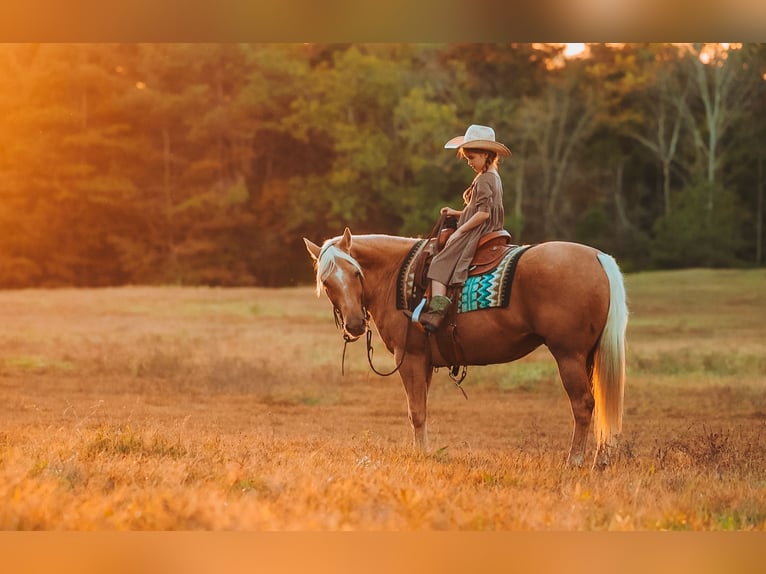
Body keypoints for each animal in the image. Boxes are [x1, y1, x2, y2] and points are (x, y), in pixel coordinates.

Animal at [303, 228, 628, 469]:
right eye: (327, 282)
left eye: (356, 274)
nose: (356, 324)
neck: (395, 275)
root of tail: (597, 256)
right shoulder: (424, 362)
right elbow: (422, 408)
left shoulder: (409, 358)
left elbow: (415, 411)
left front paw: (421, 455)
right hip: (588, 356)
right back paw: (600, 460)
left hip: (568, 355)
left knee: (583, 404)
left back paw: (575, 461)